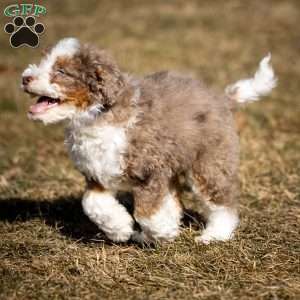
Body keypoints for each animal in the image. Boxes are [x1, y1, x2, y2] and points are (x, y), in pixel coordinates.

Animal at [21, 37, 276, 244]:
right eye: (43, 62)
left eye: (61, 71)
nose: (25, 78)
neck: (97, 115)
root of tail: (220, 99)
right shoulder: (96, 173)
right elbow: (92, 203)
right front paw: (121, 230)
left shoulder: (149, 171)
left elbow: (145, 213)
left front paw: (163, 231)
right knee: (174, 199)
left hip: (208, 162)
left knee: (221, 203)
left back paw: (214, 235)